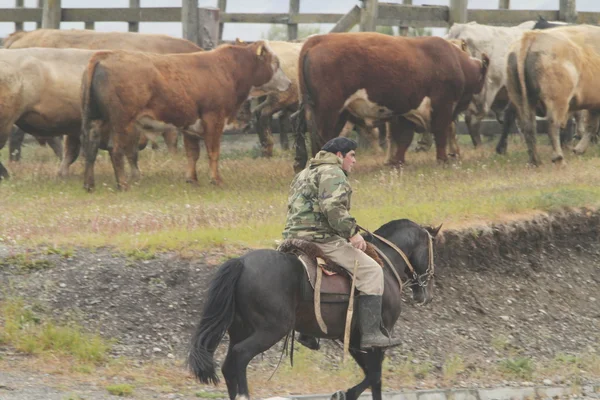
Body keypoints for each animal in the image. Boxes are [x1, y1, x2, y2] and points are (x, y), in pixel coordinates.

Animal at [81, 40, 290, 191]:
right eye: (276, 63)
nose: (289, 83)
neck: (227, 69)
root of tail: (106, 55)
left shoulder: (190, 125)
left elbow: (192, 154)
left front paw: (192, 179)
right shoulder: (214, 119)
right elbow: (213, 152)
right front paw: (216, 180)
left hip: (96, 121)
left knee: (90, 150)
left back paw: (89, 184)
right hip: (122, 122)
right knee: (116, 151)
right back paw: (123, 184)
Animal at [188, 219, 440, 400]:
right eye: (431, 252)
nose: (426, 294)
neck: (384, 264)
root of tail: (240, 263)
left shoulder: (355, 340)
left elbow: (373, 376)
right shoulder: (379, 336)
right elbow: (376, 375)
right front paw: (345, 393)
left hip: (240, 329)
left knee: (228, 366)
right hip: (270, 330)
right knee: (240, 357)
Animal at [294, 32, 488, 171]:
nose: (481, 107)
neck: (456, 62)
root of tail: (318, 40)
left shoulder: (405, 112)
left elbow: (404, 139)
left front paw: (398, 162)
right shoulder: (442, 107)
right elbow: (440, 133)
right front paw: (443, 160)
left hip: (336, 114)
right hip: (328, 112)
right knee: (322, 138)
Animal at [508, 24, 600, 165]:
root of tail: (533, 36)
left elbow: (591, 125)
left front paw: (579, 149)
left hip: (519, 99)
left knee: (528, 126)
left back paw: (535, 161)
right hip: (556, 101)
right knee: (552, 125)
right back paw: (559, 158)